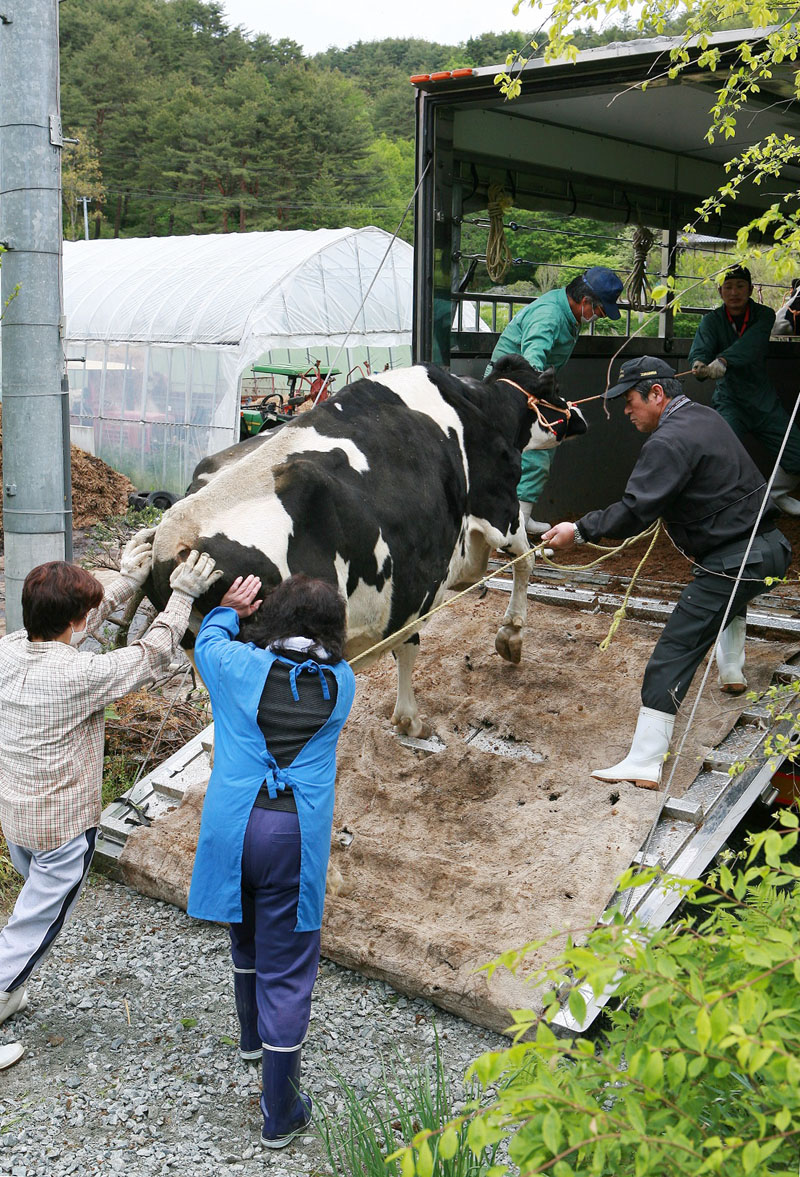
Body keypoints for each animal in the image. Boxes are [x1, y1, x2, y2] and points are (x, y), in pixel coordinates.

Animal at [148, 353, 588, 734]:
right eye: (554, 389)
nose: (581, 416)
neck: (479, 410)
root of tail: (175, 538)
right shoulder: (497, 511)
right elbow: (525, 562)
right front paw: (509, 637)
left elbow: (408, 642)